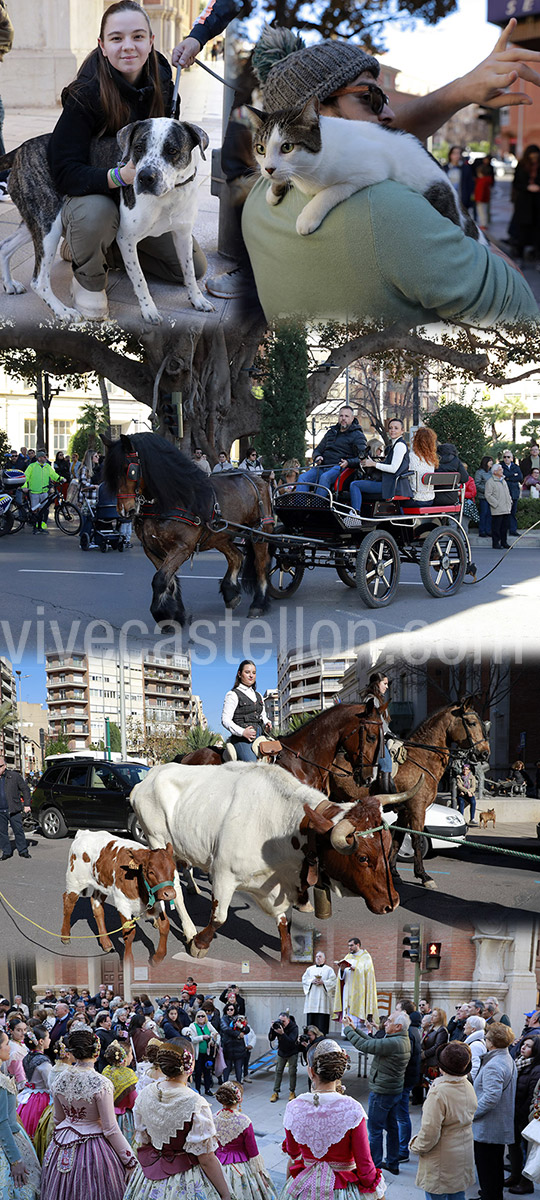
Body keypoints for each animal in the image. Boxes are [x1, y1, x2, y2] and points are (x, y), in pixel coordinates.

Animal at [0, 115, 213, 324]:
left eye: (172, 150)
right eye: (138, 148)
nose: (145, 177)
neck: (169, 195)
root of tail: (21, 148)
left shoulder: (183, 235)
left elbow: (190, 271)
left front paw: (198, 299)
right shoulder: (126, 239)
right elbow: (140, 280)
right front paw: (149, 310)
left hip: (37, 220)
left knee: (4, 246)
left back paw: (9, 285)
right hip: (49, 224)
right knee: (39, 280)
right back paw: (63, 311)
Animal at [61, 835, 176, 964]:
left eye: (173, 869)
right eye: (151, 872)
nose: (170, 894)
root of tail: (83, 833)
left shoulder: (158, 902)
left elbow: (165, 926)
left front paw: (158, 957)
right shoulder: (123, 904)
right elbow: (129, 932)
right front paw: (128, 961)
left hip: (102, 885)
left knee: (96, 905)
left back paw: (106, 943)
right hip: (75, 881)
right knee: (68, 902)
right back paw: (65, 936)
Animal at [102, 432, 274, 624]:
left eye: (130, 470)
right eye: (110, 473)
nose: (125, 510)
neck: (169, 500)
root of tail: (257, 478)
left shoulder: (182, 548)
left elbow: (160, 580)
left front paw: (163, 615)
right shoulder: (152, 549)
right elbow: (169, 581)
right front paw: (176, 614)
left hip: (259, 531)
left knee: (261, 563)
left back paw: (258, 603)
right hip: (219, 536)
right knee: (236, 557)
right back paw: (230, 593)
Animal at [130, 763, 400, 960]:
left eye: (388, 847)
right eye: (362, 857)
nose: (393, 903)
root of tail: (150, 775)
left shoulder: (284, 885)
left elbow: (284, 925)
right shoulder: (223, 873)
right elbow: (219, 917)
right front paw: (199, 943)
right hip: (156, 838)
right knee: (172, 886)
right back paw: (184, 928)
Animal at [386, 696, 492, 892]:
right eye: (472, 723)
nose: (484, 753)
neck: (420, 759)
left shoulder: (405, 811)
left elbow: (398, 838)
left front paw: (395, 874)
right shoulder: (417, 808)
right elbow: (416, 839)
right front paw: (424, 876)